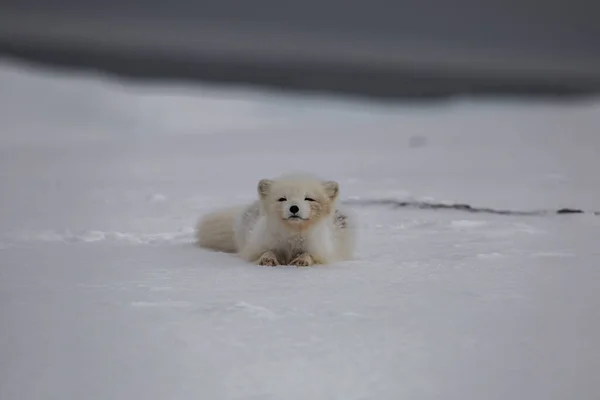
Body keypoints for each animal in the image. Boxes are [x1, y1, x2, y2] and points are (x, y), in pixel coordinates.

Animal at [197, 174, 354, 266]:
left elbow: (309, 254)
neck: (292, 238)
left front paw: (302, 260)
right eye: (282, 199)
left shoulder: (324, 252)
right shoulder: (255, 248)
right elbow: (266, 252)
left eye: (308, 198)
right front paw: (268, 259)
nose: (294, 208)